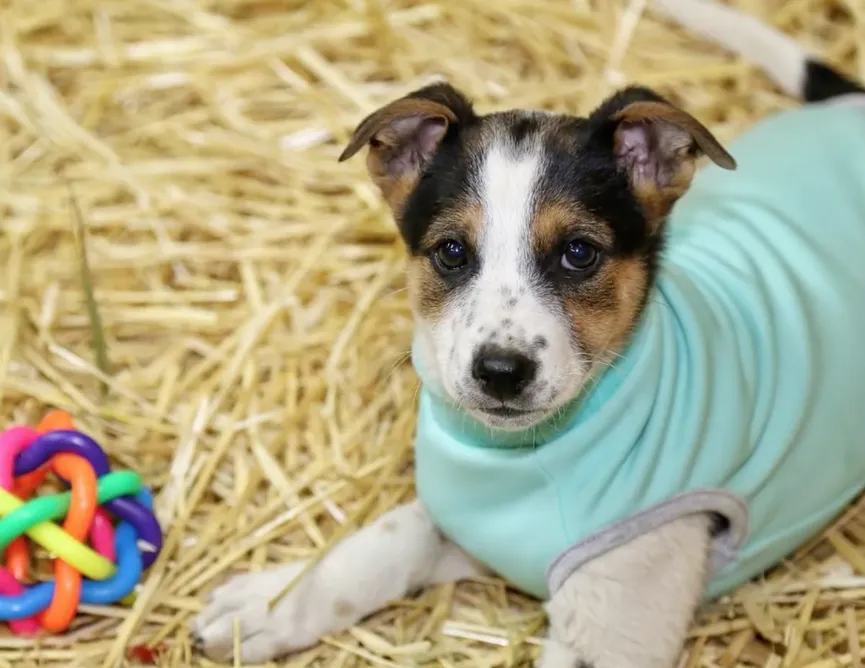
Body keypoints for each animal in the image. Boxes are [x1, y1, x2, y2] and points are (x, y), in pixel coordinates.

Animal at [192, 2, 864, 664]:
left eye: (579, 253)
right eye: (452, 252)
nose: (500, 372)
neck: (523, 459)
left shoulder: (611, 626)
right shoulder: (469, 525)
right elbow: (388, 540)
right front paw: (269, 604)